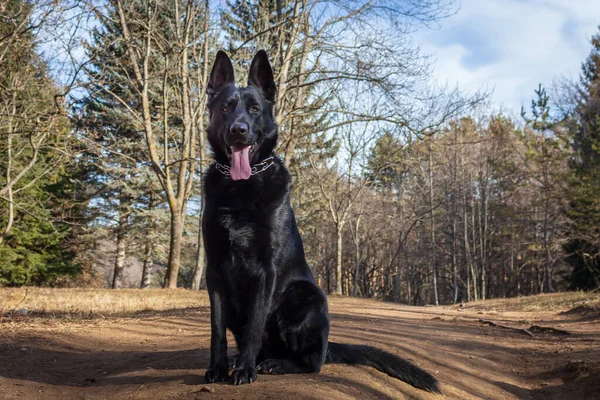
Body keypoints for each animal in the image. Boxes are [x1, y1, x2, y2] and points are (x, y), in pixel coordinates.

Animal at [203, 50, 440, 394]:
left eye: (254, 109)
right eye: (225, 108)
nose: (239, 129)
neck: (242, 187)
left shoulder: (266, 272)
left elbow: (254, 325)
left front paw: (244, 370)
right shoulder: (215, 272)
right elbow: (216, 329)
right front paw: (218, 369)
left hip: (304, 296)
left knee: (311, 362)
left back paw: (274, 364)